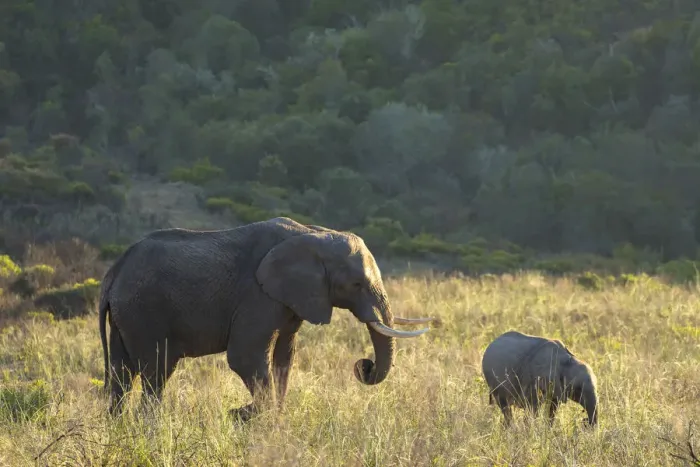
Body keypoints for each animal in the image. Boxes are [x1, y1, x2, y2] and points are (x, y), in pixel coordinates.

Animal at [98, 216, 434, 420]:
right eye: (356, 285)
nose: (364, 365)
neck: (314, 234)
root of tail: (114, 271)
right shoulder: (258, 295)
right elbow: (244, 356)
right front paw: (252, 416)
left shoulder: (292, 299)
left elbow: (285, 355)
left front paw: (270, 421)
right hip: (144, 311)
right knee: (157, 372)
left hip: (125, 316)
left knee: (122, 374)